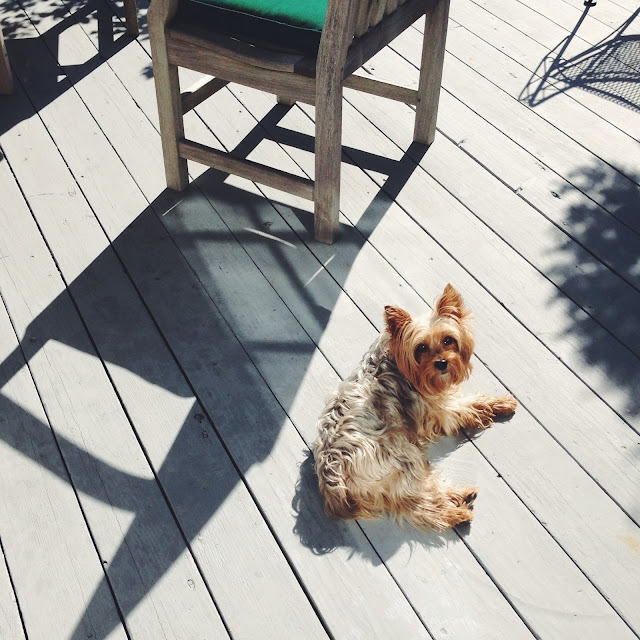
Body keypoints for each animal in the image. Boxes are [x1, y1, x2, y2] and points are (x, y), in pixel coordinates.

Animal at [313, 284, 517, 530]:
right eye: (421, 347)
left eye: (448, 340)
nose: (442, 363)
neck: (396, 362)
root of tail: (332, 478)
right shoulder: (442, 408)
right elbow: (470, 405)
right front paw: (500, 404)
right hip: (402, 456)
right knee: (421, 501)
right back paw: (457, 510)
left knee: (410, 501)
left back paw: (459, 498)